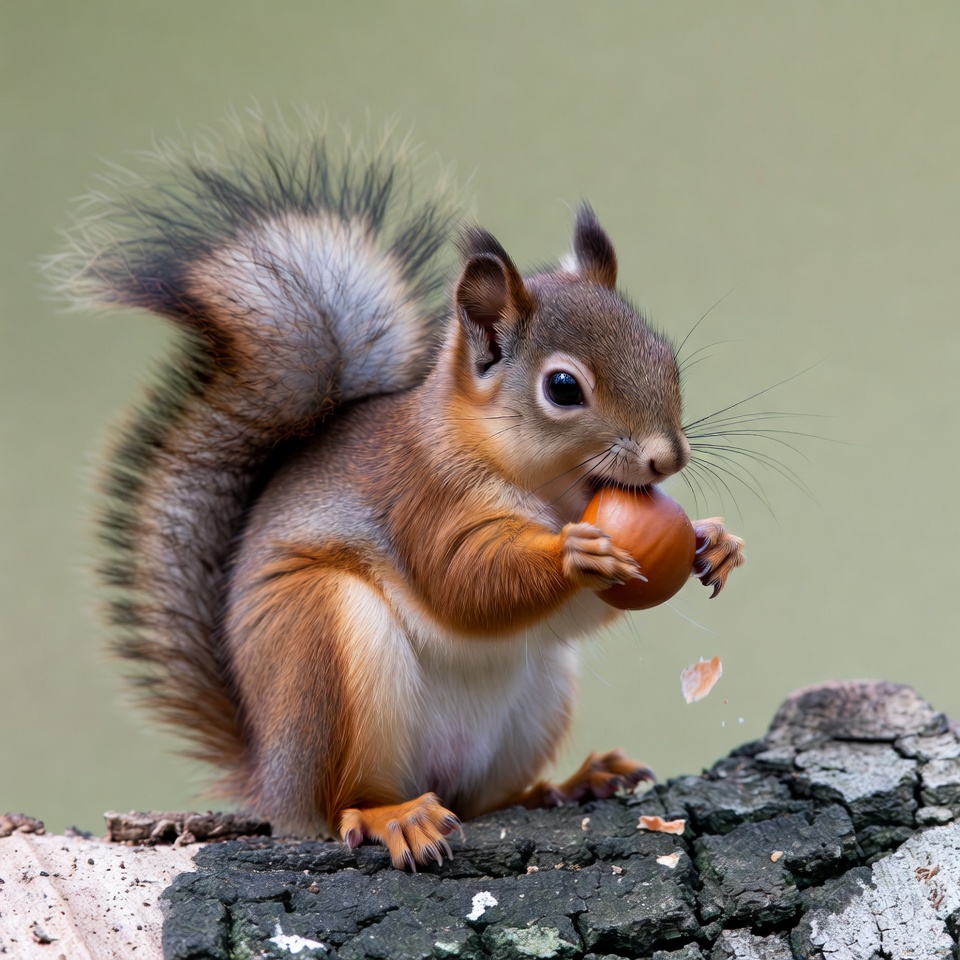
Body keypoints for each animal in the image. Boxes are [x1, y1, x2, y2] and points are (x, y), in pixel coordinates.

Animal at [58, 123, 746, 870]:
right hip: (325, 647)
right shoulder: (424, 497)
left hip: (537, 699)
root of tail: (271, 777)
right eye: (563, 389)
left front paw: (716, 540)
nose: (667, 458)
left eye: (667, 358)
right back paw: (394, 817)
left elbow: (569, 614)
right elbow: (462, 579)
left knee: (484, 798)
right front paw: (577, 555)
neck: (550, 491)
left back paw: (569, 784)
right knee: (341, 804)